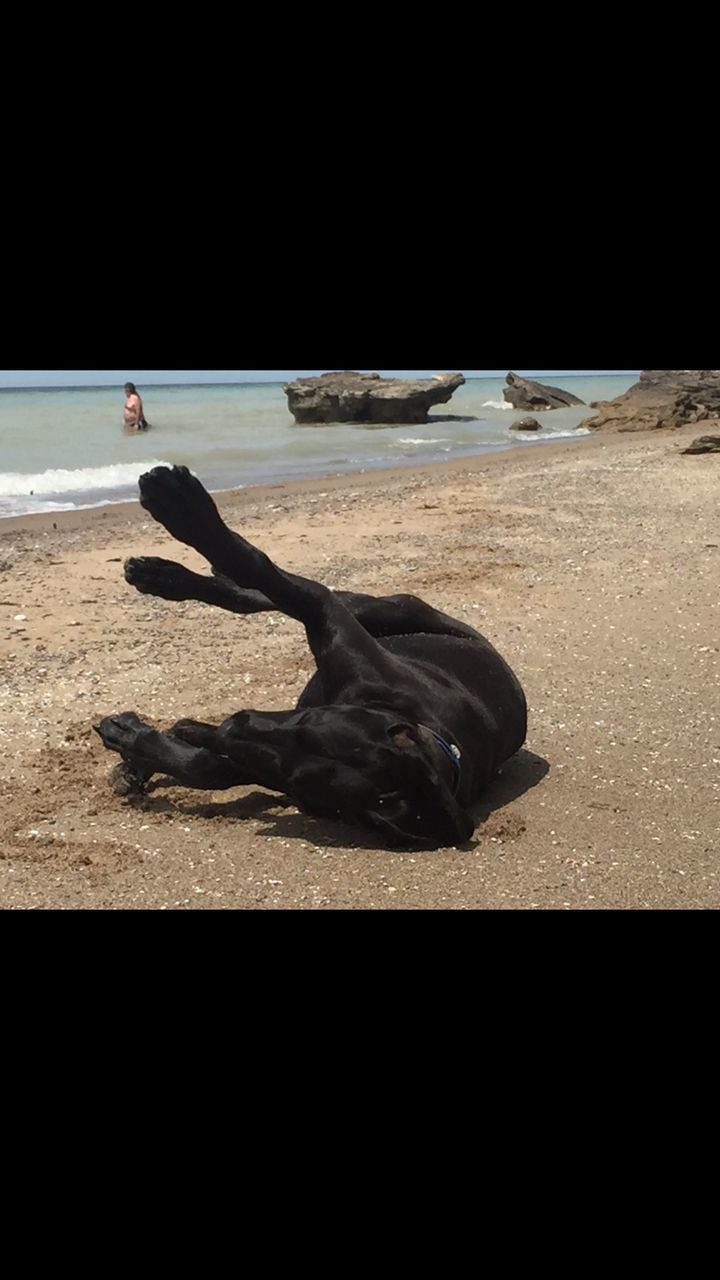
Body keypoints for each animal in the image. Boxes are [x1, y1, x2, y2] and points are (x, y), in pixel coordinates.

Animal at [92, 465, 525, 844]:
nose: (235, 723)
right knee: (261, 592)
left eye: (295, 775)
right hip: (383, 607)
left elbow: (207, 766)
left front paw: (137, 744)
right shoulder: (327, 616)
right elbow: (261, 568)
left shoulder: (253, 757)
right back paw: (167, 575)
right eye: (311, 722)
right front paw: (184, 508)